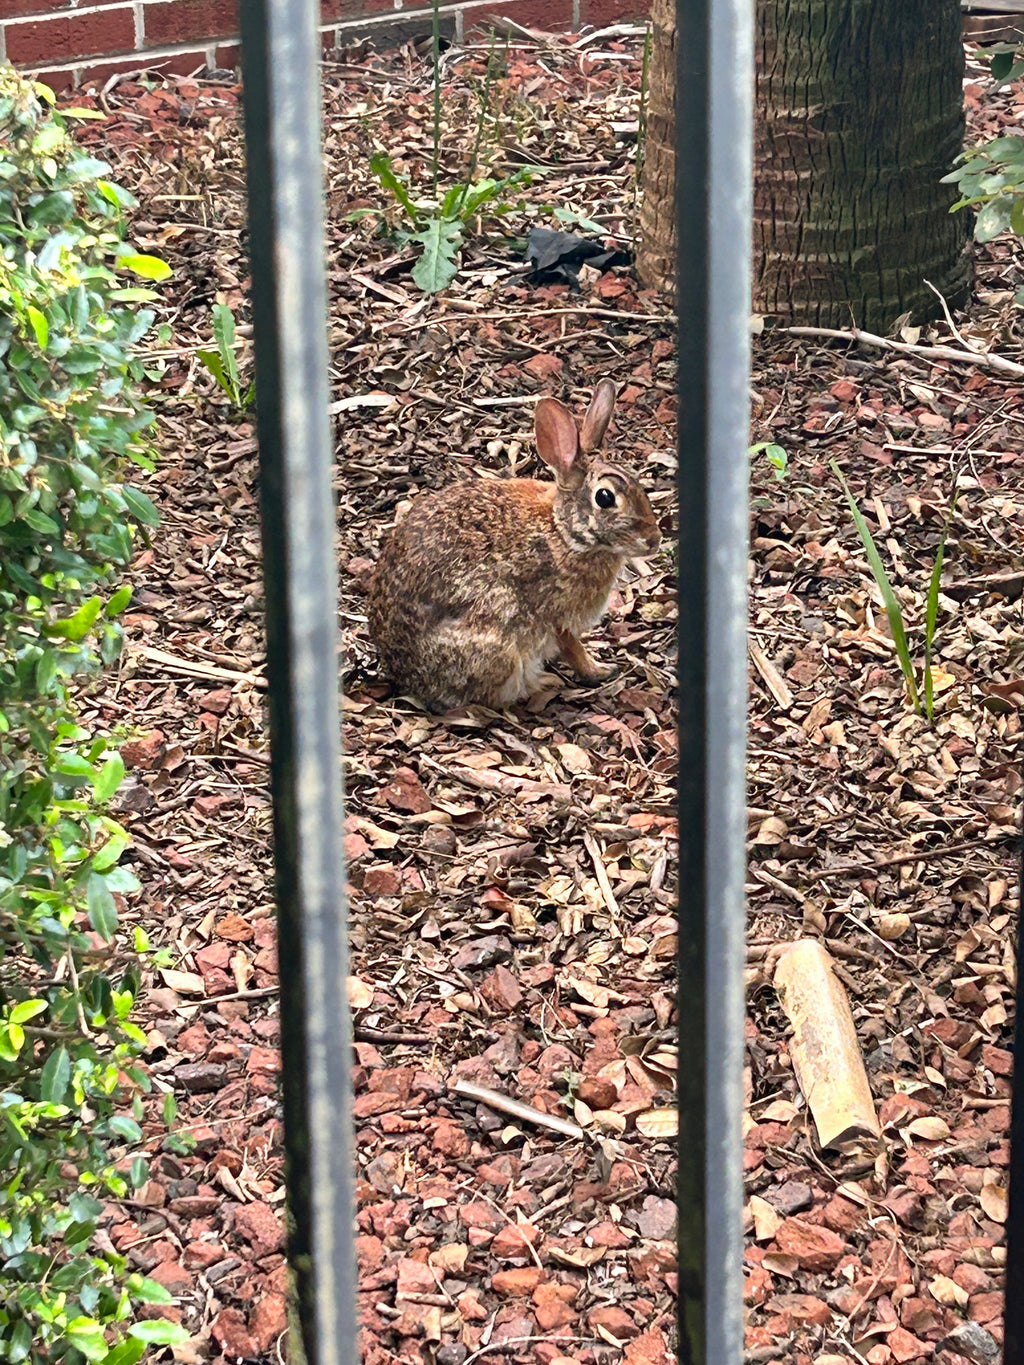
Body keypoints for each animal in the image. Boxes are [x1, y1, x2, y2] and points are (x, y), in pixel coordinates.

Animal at [367, 381, 660, 710]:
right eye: (605, 498)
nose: (654, 540)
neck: (564, 532)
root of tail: (403, 674)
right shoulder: (557, 616)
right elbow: (572, 648)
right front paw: (598, 671)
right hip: (498, 643)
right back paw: (542, 684)